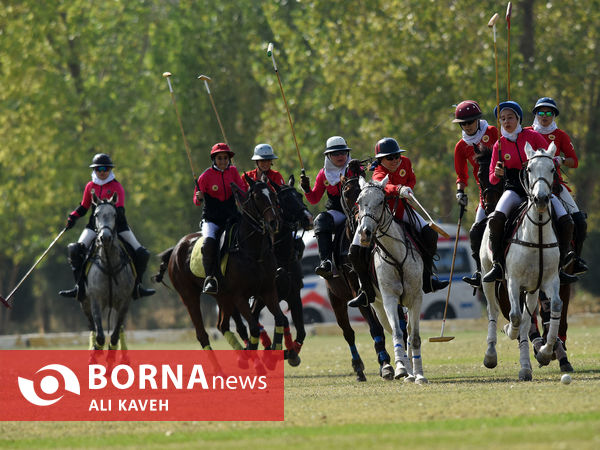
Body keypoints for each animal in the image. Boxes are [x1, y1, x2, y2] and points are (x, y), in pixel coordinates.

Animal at [156, 177, 298, 362]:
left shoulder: (268, 290)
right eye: (257, 197)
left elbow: (280, 319)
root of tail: (175, 249)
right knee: (202, 334)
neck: (253, 251)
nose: (275, 223)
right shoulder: (239, 295)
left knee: (222, 325)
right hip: (189, 296)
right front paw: (262, 359)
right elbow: (254, 327)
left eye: (274, 196)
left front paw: (277, 353)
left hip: (222, 296)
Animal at [356, 176, 426, 384]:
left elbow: (415, 337)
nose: (364, 233)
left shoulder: (416, 298)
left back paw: (412, 372)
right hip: (378, 307)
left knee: (409, 333)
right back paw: (405, 370)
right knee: (395, 331)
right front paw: (402, 368)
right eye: (359, 202)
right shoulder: (389, 298)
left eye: (381, 201)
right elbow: (397, 332)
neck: (396, 255)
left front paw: (420, 375)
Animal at [480, 142, 560, 382]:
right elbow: (514, 316)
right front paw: (509, 331)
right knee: (493, 311)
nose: (541, 199)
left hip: (532, 290)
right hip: (488, 278)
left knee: (526, 319)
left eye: (552, 169)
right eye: (530, 169)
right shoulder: (513, 281)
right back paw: (491, 355)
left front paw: (545, 353)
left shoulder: (549, 280)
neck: (538, 233)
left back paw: (525, 367)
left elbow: (554, 307)